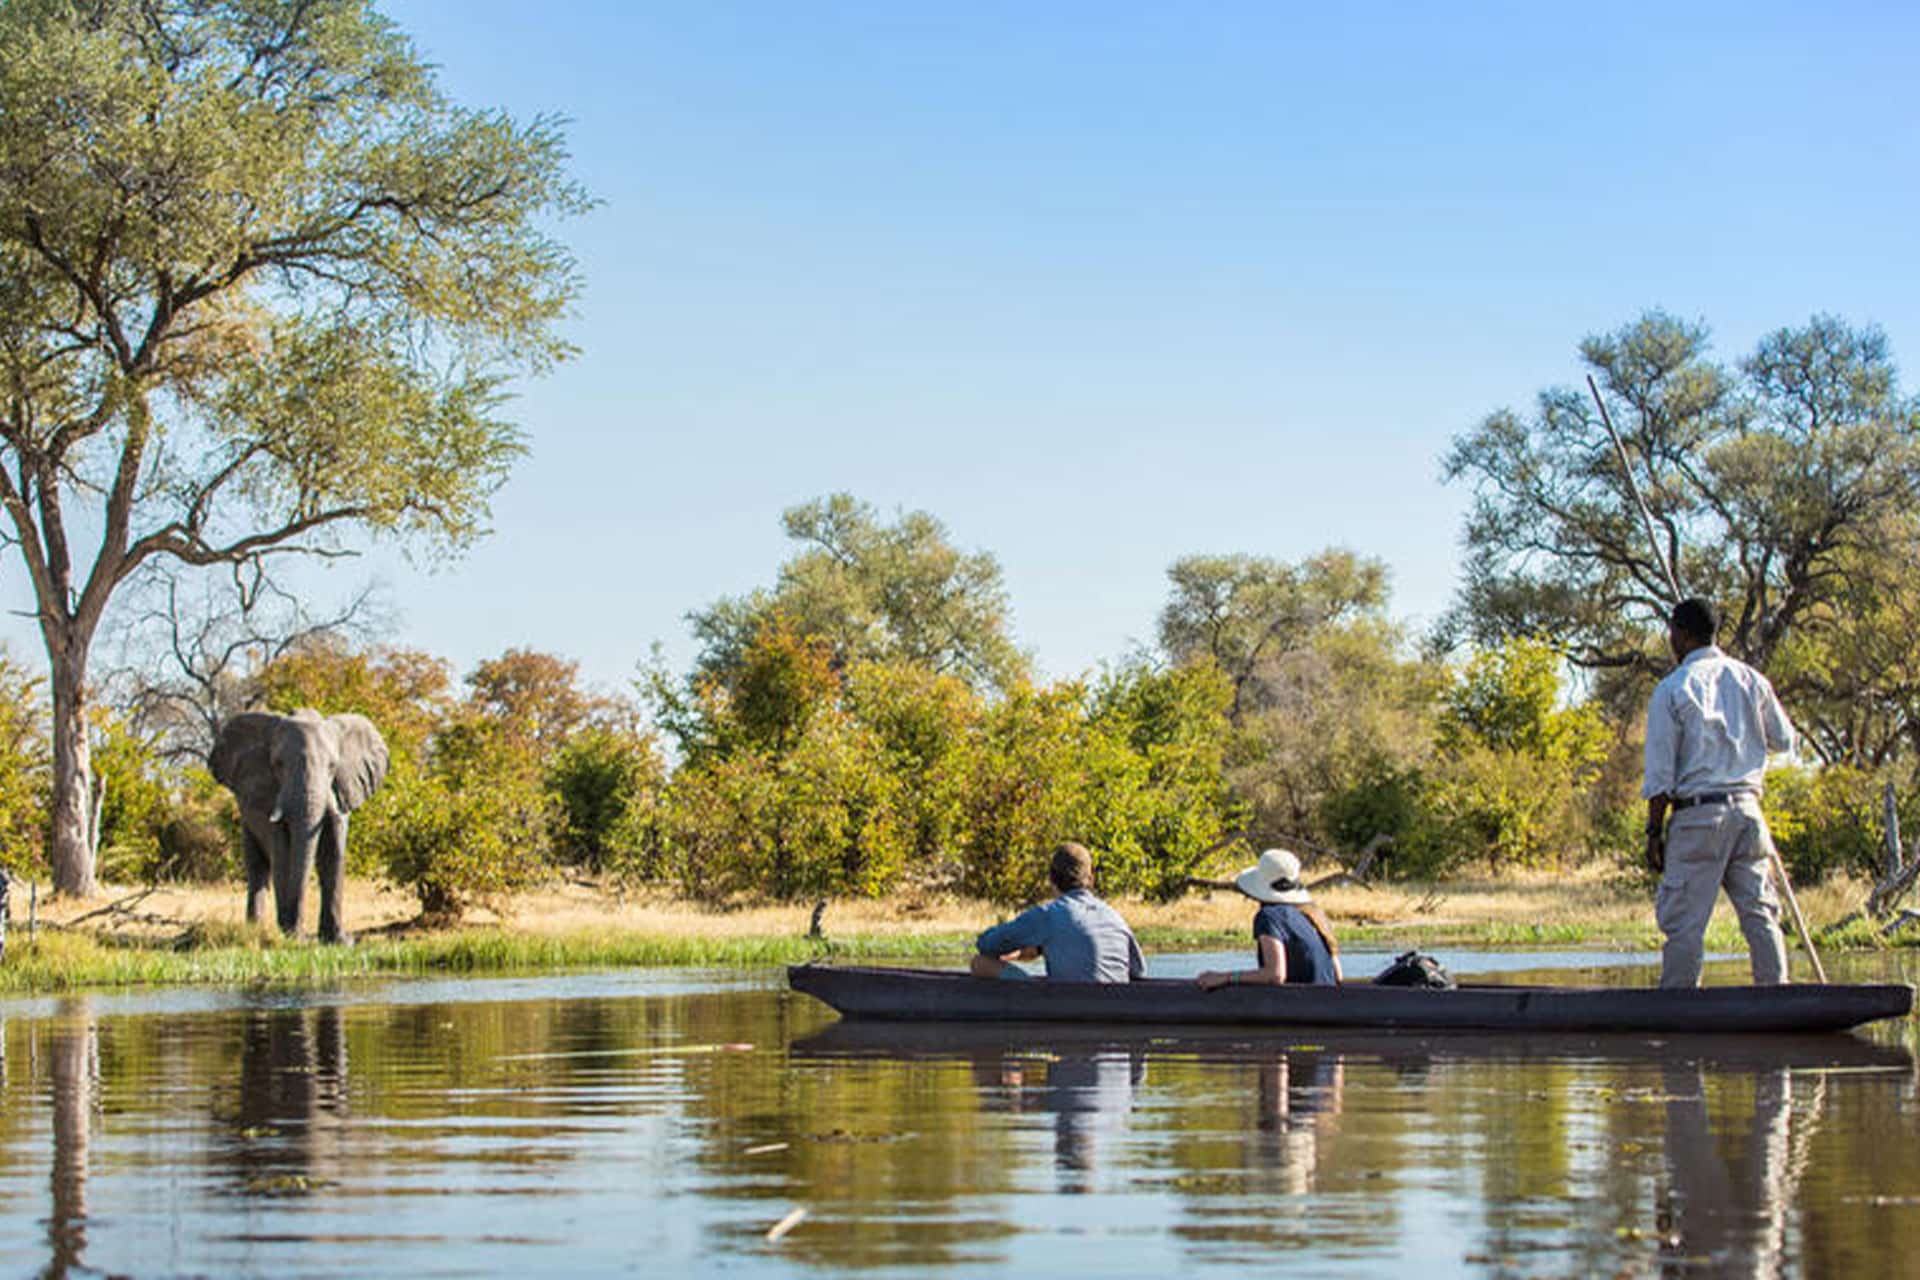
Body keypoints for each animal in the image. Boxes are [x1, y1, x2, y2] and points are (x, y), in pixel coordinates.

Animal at [209, 709, 389, 943]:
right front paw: (292, 936)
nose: (299, 933)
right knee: (257, 867)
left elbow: (333, 853)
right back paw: (254, 932)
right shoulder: (269, 797)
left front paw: (340, 941)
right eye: (277, 764)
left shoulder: (342, 790)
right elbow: (282, 854)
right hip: (246, 820)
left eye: (332, 766)